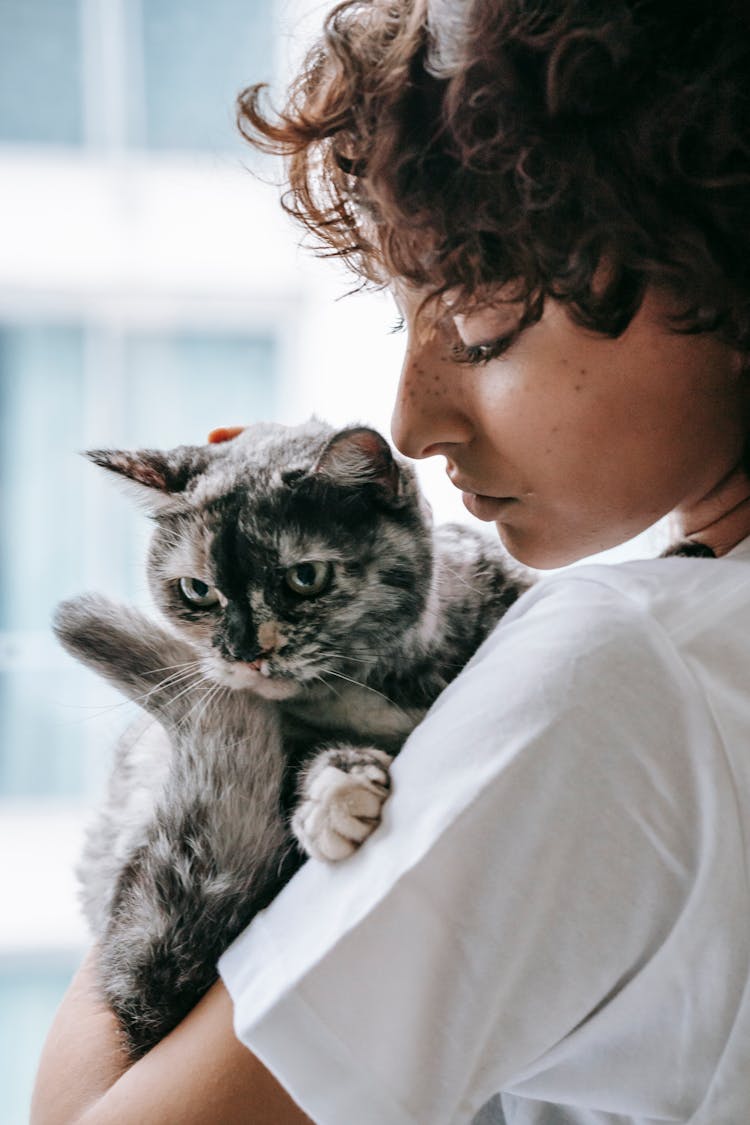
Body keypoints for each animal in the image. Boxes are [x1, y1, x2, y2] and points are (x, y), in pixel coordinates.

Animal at [54, 420, 528, 1053]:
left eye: (305, 577)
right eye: (196, 591)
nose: (243, 652)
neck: (371, 687)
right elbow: (299, 759)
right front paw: (336, 796)